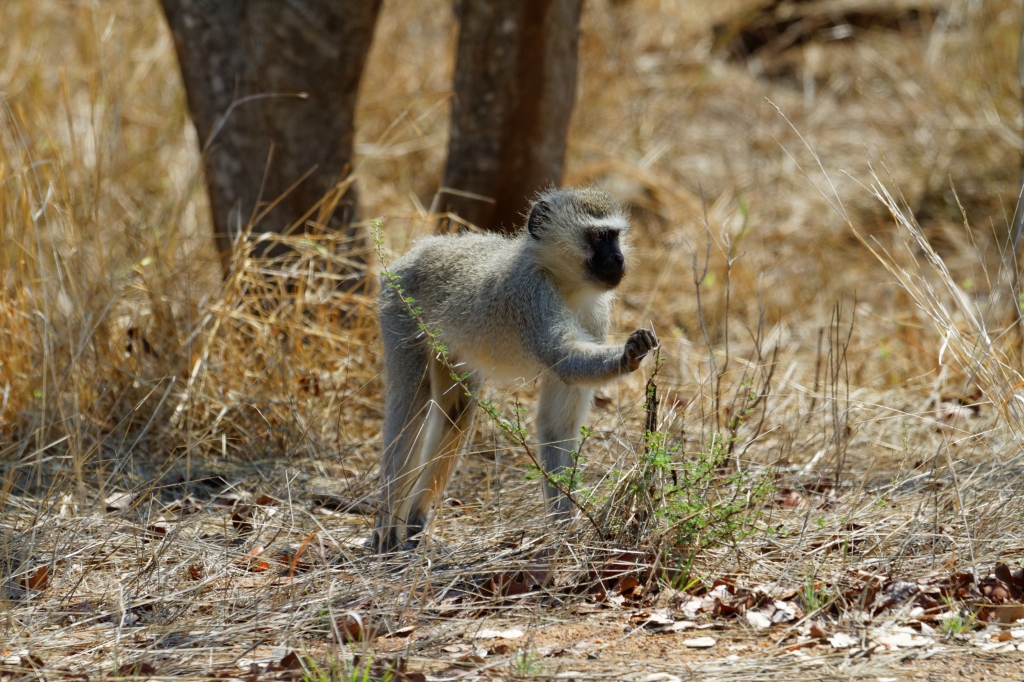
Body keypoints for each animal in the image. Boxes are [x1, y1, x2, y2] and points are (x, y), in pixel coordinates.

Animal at [372, 187, 658, 553]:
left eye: (616, 236)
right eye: (597, 237)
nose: (619, 259)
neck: (564, 283)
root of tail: (414, 254)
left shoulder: (595, 316)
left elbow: (557, 425)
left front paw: (564, 534)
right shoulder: (531, 295)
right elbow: (565, 358)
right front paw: (627, 354)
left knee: (455, 416)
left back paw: (413, 521)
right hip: (400, 311)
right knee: (409, 413)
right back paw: (386, 533)